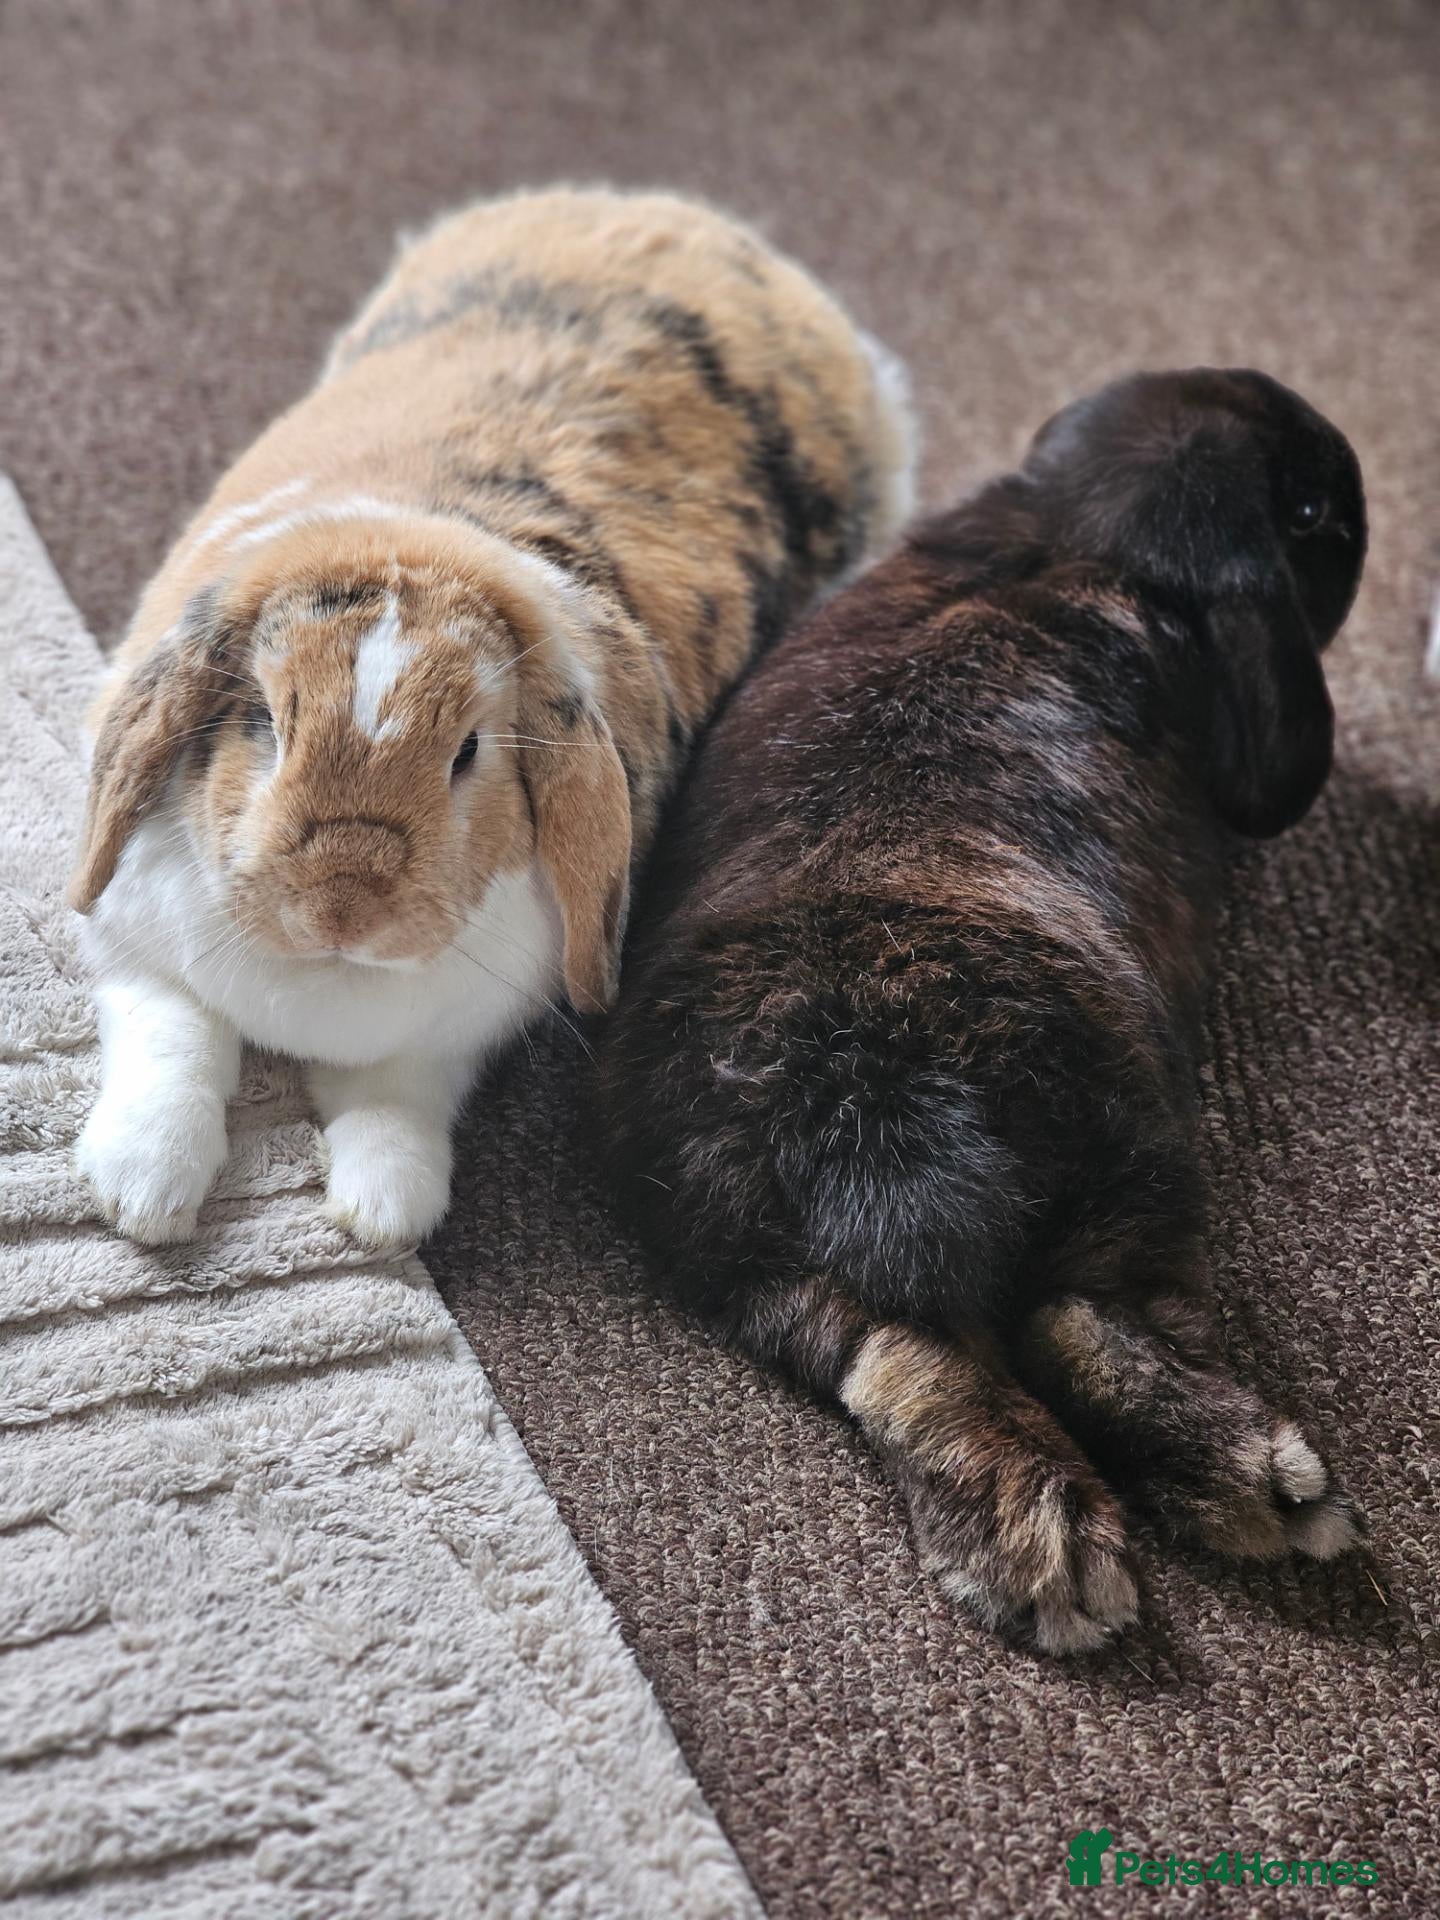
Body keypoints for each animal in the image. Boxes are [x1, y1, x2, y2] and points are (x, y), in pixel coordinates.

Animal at [70, 186, 916, 1248]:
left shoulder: (448, 1041)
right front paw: (141, 1196)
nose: (343, 903)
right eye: (262, 722)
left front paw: (382, 1214)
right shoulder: (137, 960)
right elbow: (176, 1046)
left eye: (469, 750)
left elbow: (395, 1103)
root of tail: (685, 219)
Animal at [595, 368, 1368, 1654]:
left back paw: (1034, 1545)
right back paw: (1257, 1486)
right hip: (1124, 1131)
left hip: (747, 1240)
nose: (1356, 498)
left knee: (903, 1357)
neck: (1068, 537)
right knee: (1078, 1312)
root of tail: (866, 1089)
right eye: (1313, 511)